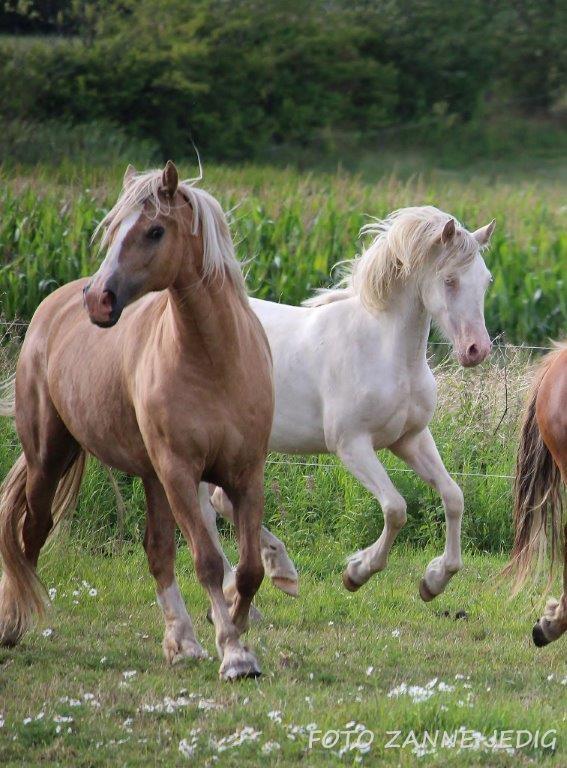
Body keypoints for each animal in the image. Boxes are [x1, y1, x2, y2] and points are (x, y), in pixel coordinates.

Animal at [0, 160, 276, 680]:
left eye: (154, 231)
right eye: (111, 231)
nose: (99, 300)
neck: (215, 362)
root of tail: (53, 307)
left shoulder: (245, 473)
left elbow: (249, 567)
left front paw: (236, 627)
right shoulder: (179, 471)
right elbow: (209, 561)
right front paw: (233, 651)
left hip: (151, 478)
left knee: (157, 551)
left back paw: (182, 642)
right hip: (51, 458)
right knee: (31, 533)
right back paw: (12, 622)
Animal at [207, 206, 492, 608]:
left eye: (486, 281)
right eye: (449, 280)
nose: (476, 350)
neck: (383, 349)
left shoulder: (410, 439)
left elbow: (453, 497)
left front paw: (435, 580)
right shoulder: (351, 445)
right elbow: (396, 508)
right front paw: (357, 572)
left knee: (216, 503)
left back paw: (261, 579)